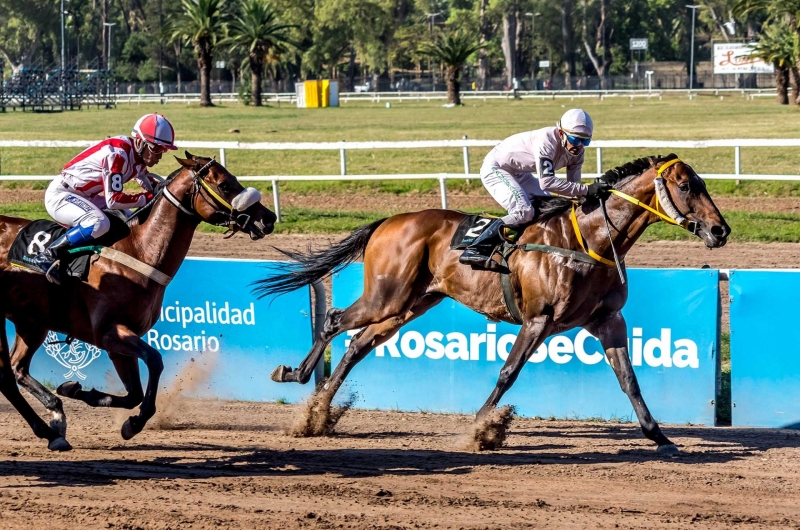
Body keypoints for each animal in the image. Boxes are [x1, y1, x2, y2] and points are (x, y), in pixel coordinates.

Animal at [0, 153, 276, 450]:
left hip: (31, 322)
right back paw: (51, 429)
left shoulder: (119, 342)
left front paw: (75, 390)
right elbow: (154, 361)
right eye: (225, 185)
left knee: (17, 369)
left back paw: (55, 419)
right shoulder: (110, 333)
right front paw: (135, 422)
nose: (268, 218)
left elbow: (133, 393)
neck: (139, 252)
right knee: (8, 376)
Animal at [256, 154, 732, 454]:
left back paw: (317, 414)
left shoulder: (607, 320)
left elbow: (630, 381)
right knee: (336, 320)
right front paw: (479, 429)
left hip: (411, 303)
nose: (720, 230)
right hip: (386, 296)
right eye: (687, 185)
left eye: (703, 183)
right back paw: (296, 378)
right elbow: (507, 373)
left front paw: (660, 438)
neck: (587, 242)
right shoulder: (539, 320)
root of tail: (389, 220)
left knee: (358, 344)